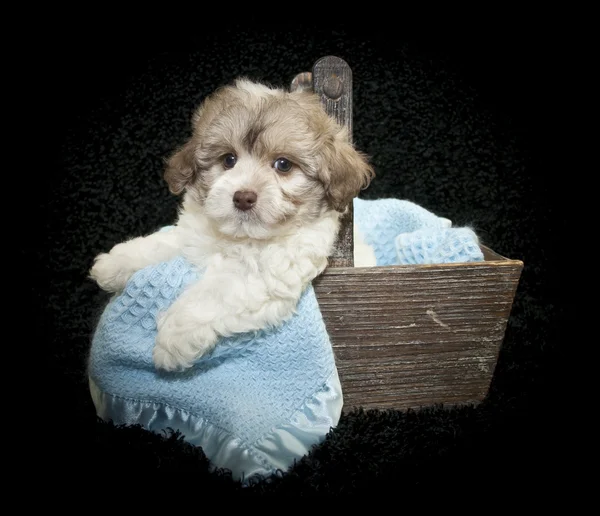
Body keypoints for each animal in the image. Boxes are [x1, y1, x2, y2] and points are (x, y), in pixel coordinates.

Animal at [88, 78, 372, 370]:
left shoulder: (267, 275)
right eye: (228, 160)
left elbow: (215, 292)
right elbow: (168, 241)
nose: (243, 197)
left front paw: (172, 338)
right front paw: (116, 262)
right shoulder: (195, 235)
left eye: (283, 165)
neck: (240, 238)